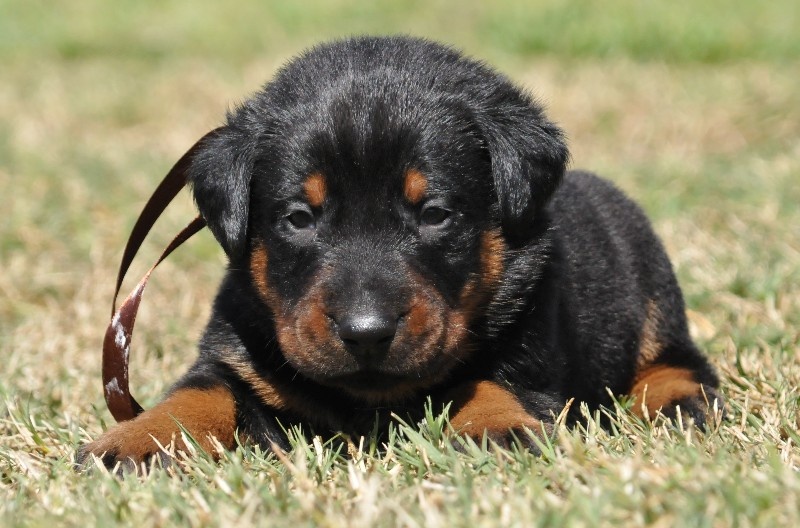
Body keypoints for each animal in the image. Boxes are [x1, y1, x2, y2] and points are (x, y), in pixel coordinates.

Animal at [78, 36, 720, 466]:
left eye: (434, 214)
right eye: (299, 219)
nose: (366, 333)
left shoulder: (534, 346)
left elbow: (492, 382)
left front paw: (495, 430)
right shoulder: (236, 347)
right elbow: (199, 391)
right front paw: (134, 439)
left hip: (652, 292)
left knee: (681, 364)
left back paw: (677, 404)